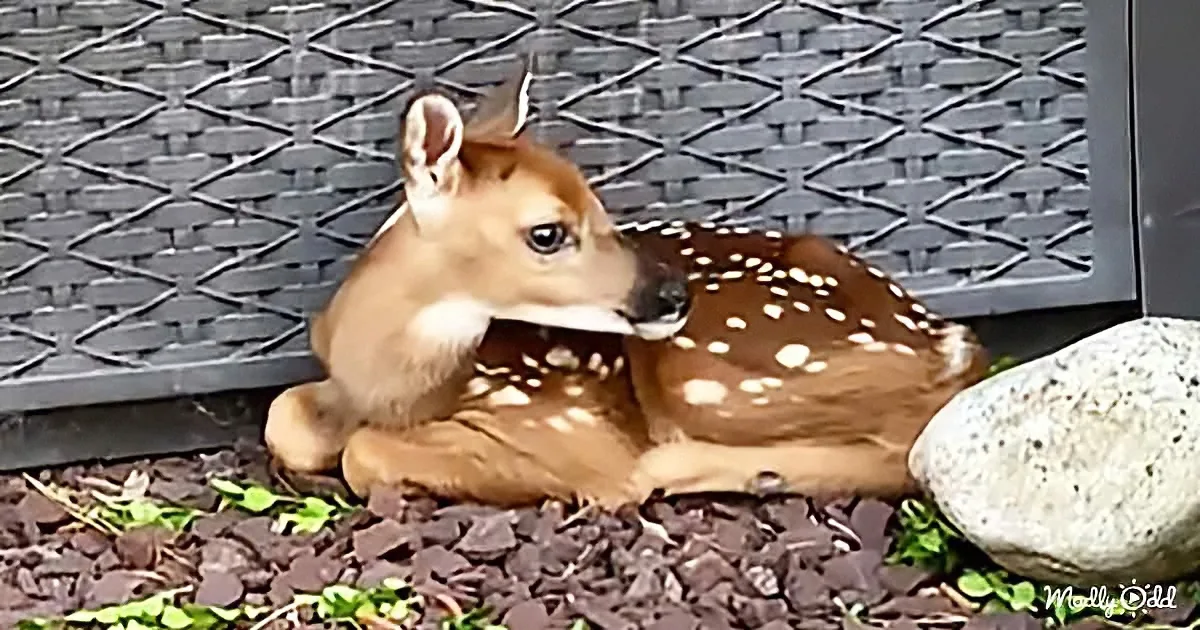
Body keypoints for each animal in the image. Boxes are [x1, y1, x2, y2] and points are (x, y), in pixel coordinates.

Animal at [264, 60, 992, 508]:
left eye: (602, 206)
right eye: (547, 232)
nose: (672, 295)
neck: (392, 387)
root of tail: (951, 342)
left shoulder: (559, 422)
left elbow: (361, 453)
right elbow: (285, 417)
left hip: (712, 370)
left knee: (906, 447)